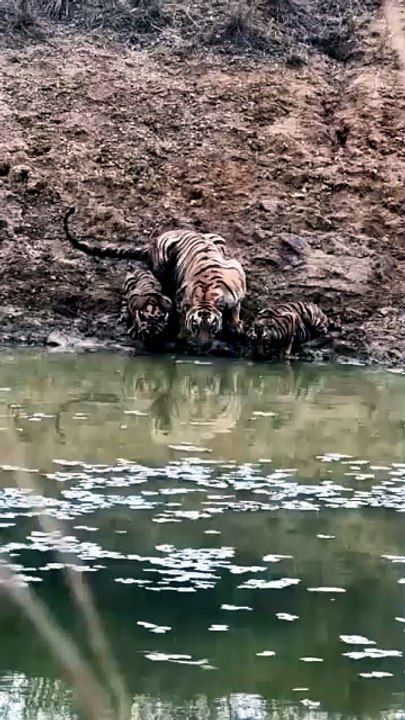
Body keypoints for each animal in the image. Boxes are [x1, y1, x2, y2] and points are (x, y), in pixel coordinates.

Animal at [63, 207, 246, 349]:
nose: (204, 346)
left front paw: (236, 325)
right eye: (195, 326)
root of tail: (154, 242)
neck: (206, 293)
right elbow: (181, 316)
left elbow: (235, 308)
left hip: (218, 238)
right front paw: (181, 335)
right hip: (163, 259)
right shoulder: (180, 297)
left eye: (212, 326)